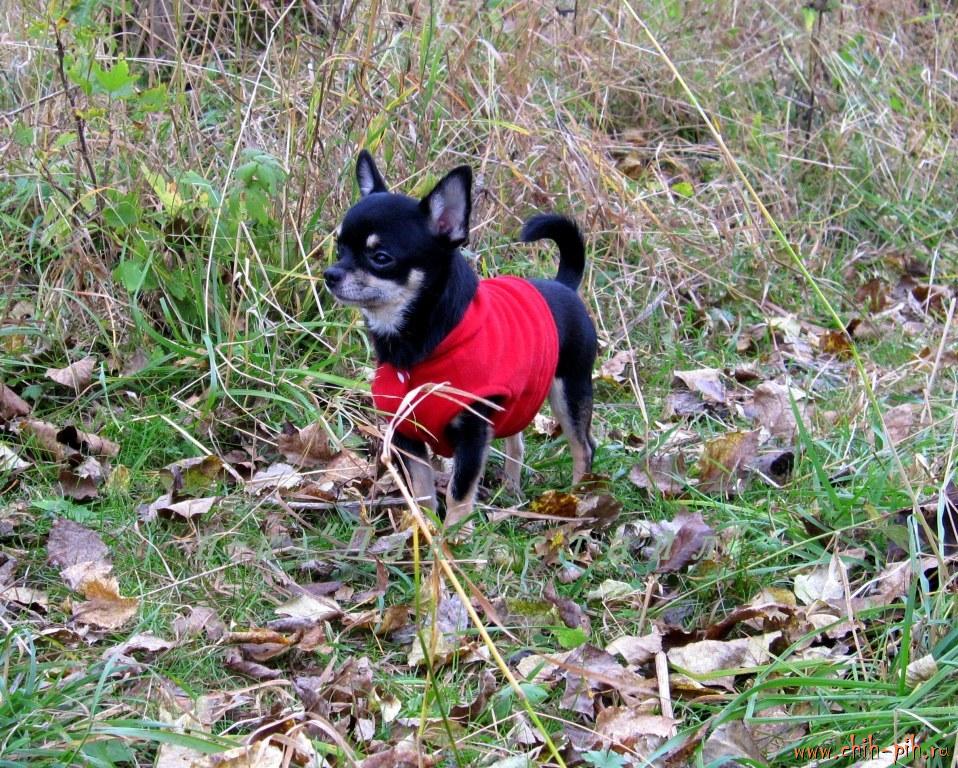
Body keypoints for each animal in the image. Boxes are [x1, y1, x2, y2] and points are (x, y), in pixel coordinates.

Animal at [324, 151, 597, 532]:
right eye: (339, 248)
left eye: (381, 258)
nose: (330, 274)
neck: (420, 345)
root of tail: (564, 285)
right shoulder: (408, 435)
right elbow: (423, 489)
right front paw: (421, 529)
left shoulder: (471, 434)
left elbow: (459, 491)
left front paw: (454, 535)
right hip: (517, 400)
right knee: (517, 443)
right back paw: (511, 491)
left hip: (570, 392)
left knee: (584, 448)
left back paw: (575, 504)